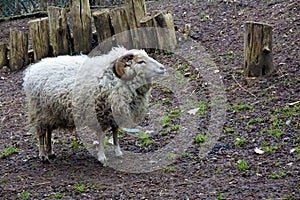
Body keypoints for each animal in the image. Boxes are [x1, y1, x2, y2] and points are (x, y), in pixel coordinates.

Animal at [22, 46, 166, 162]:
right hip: (39, 111)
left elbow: (115, 133)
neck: (114, 78)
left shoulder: (114, 113)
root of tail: (32, 69)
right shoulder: (100, 113)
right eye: (141, 61)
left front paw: (118, 152)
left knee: (49, 131)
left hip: (51, 111)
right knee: (41, 133)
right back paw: (43, 155)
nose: (162, 68)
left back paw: (50, 152)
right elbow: (101, 136)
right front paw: (102, 156)